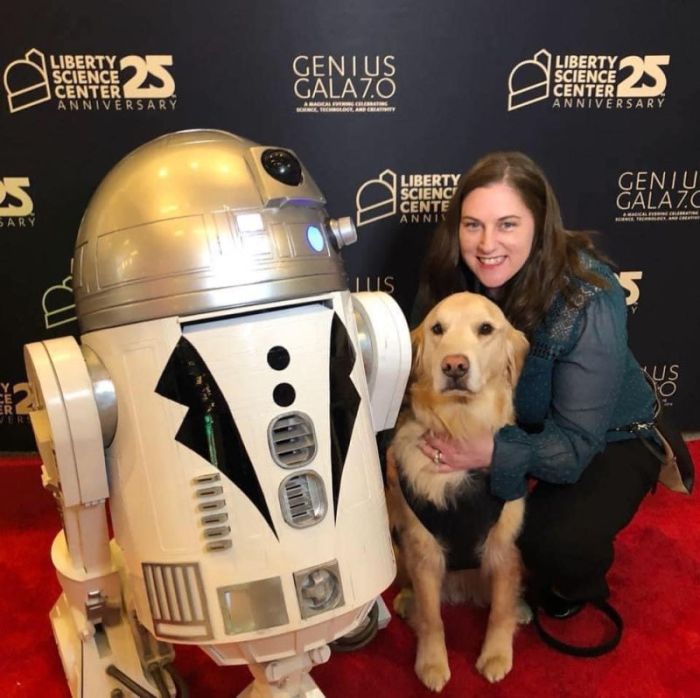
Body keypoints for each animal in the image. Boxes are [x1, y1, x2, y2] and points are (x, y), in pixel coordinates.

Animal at [388, 290, 532, 688]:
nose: (454, 366)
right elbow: (432, 618)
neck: (461, 424)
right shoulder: (424, 551)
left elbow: (499, 611)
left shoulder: (503, 547)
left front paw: (496, 655)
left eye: (485, 329)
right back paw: (406, 601)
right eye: (438, 329)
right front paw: (432, 663)